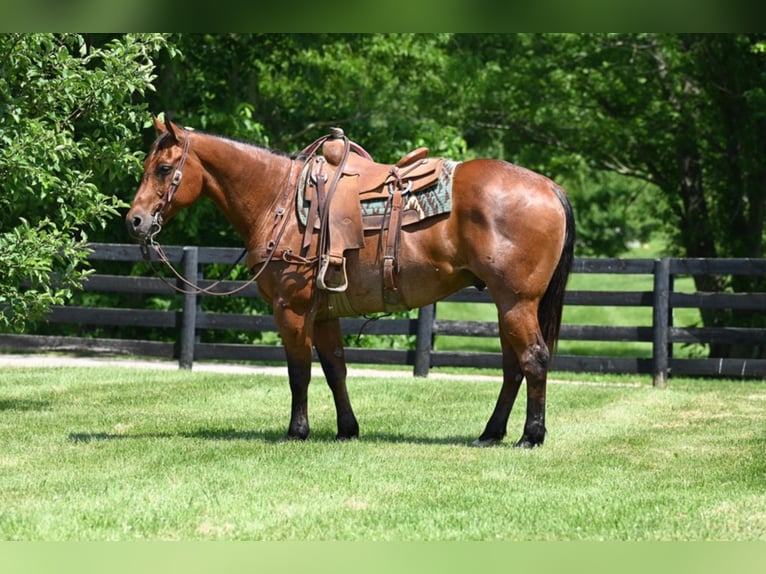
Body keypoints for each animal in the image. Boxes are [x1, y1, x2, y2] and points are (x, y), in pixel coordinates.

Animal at [127, 116, 576, 450]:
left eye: (164, 169)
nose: (135, 220)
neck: (278, 200)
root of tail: (550, 187)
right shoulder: (324, 313)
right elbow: (335, 369)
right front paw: (347, 429)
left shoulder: (291, 309)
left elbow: (299, 371)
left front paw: (297, 432)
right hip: (507, 305)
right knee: (512, 366)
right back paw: (491, 433)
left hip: (516, 302)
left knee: (533, 359)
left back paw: (530, 436)